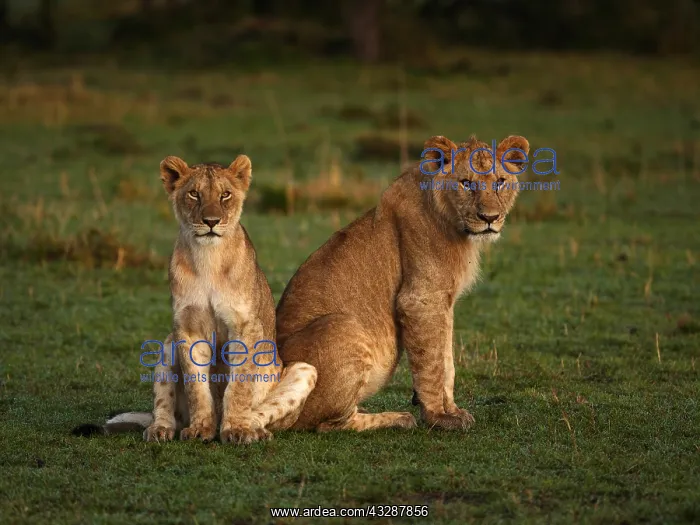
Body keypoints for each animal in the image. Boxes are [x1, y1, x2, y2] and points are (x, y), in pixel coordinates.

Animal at [74, 156, 317, 444]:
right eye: (194, 194)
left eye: (225, 195)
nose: (211, 221)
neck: (208, 258)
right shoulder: (186, 328)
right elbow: (196, 386)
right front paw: (201, 428)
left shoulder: (245, 326)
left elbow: (239, 385)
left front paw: (237, 428)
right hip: (168, 344)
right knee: (163, 406)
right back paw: (160, 429)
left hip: (305, 371)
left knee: (264, 410)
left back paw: (254, 429)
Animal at [275, 135, 529, 431]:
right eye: (466, 183)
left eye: (500, 181)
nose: (489, 218)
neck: (453, 224)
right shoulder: (420, 299)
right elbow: (431, 364)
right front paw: (437, 417)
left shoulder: (443, 302)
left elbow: (446, 361)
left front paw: (453, 410)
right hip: (342, 326)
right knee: (329, 424)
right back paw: (398, 419)